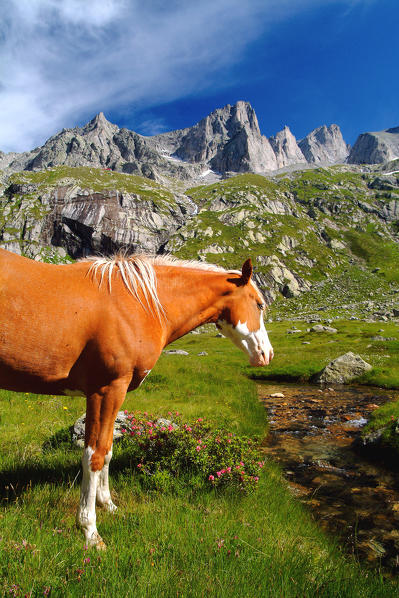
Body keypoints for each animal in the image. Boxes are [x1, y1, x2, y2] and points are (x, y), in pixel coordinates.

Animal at [0, 248, 274, 548]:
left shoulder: (111, 394)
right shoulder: (106, 390)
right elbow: (94, 455)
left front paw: (107, 505)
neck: (138, 304)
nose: (267, 354)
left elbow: (108, 450)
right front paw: (90, 530)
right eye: (259, 305)